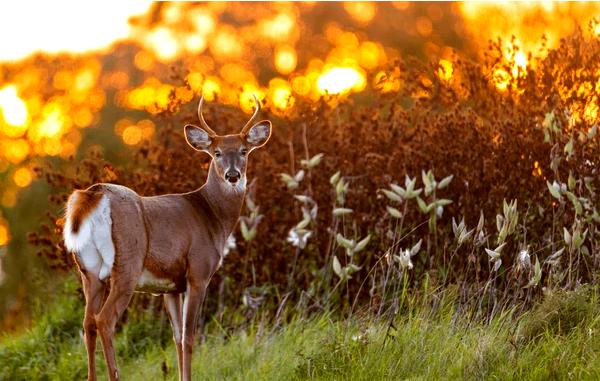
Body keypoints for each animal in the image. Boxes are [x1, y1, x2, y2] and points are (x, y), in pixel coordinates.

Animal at [62, 95, 270, 380]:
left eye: (244, 151)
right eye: (216, 153)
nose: (233, 176)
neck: (211, 215)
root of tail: (93, 193)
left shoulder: (170, 286)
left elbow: (177, 338)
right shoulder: (198, 273)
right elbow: (190, 337)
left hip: (89, 272)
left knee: (87, 323)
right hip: (127, 265)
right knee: (104, 320)